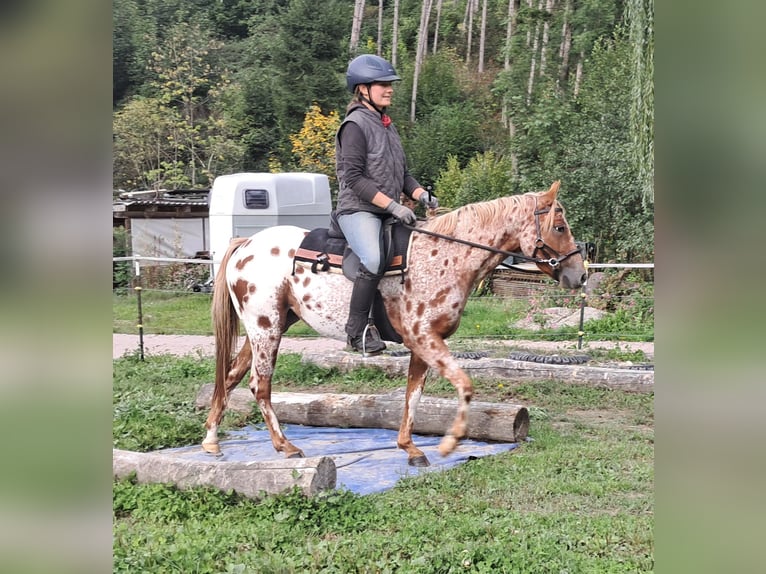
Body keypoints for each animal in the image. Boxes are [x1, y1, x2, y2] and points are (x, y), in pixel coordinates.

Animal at [202, 181, 586, 467]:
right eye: (559, 226)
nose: (579, 275)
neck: (444, 257)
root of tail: (245, 245)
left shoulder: (423, 344)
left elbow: (413, 395)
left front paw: (410, 448)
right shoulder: (426, 339)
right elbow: (464, 385)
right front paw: (449, 444)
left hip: (268, 327)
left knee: (230, 377)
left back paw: (211, 441)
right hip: (266, 329)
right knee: (259, 386)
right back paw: (285, 446)